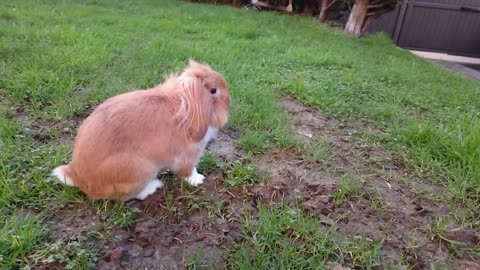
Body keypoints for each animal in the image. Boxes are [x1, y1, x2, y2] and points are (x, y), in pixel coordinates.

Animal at [51, 60, 232, 200]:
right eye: (213, 91)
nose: (229, 100)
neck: (186, 108)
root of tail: (77, 177)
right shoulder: (187, 155)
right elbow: (188, 171)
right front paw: (198, 179)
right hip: (140, 169)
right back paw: (153, 186)